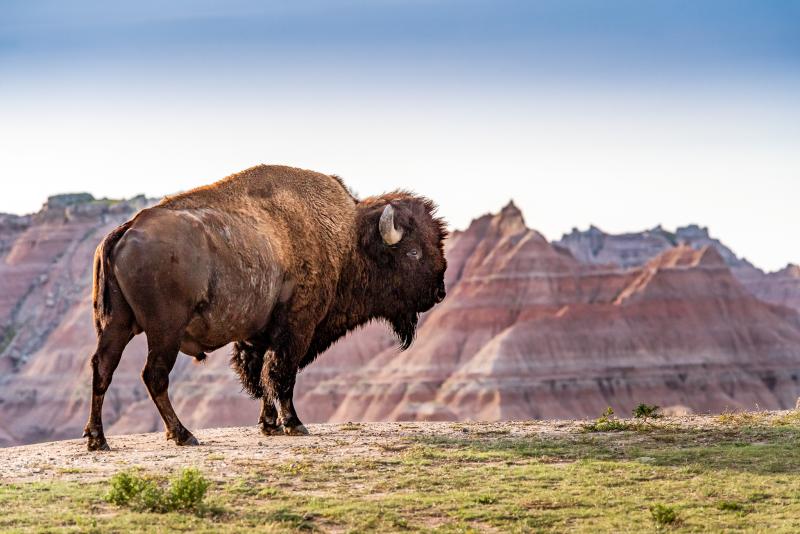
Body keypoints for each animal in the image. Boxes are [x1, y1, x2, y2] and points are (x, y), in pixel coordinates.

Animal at [83, 165, 447, 450]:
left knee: (103, 368)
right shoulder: (296, 330)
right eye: (413, 252)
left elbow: (259, 377)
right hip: (164, 332)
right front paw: (294, 424)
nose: (440, 292)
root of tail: (126, 229)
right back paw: (183, 435)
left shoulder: (257, 336)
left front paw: (269, 425)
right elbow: (281, 375)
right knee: (154, 376)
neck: (348, 239)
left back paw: (97, 440)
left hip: (116, 325)